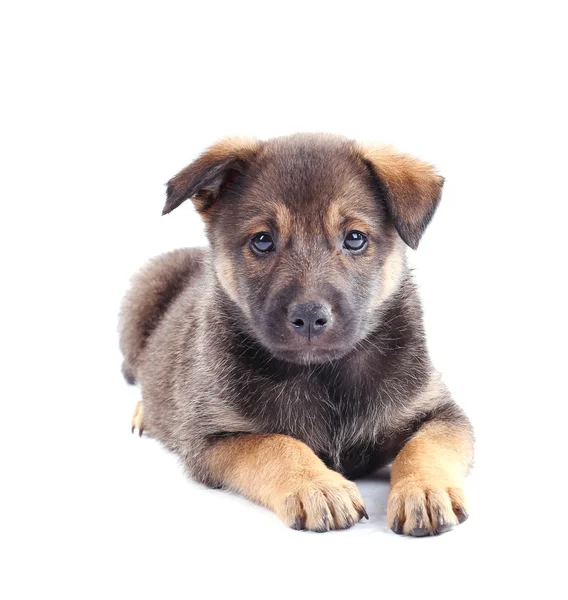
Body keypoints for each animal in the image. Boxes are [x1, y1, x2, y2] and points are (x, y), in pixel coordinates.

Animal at [121, 135, 474, 536]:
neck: (323, 376)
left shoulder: (440, 412)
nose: (309, 317)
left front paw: (424, 489)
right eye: (262, 240)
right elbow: (278, 444)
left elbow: (425, 446)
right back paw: (144, 413)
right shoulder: (213, 436)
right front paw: (317, 486)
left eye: (354, 238)